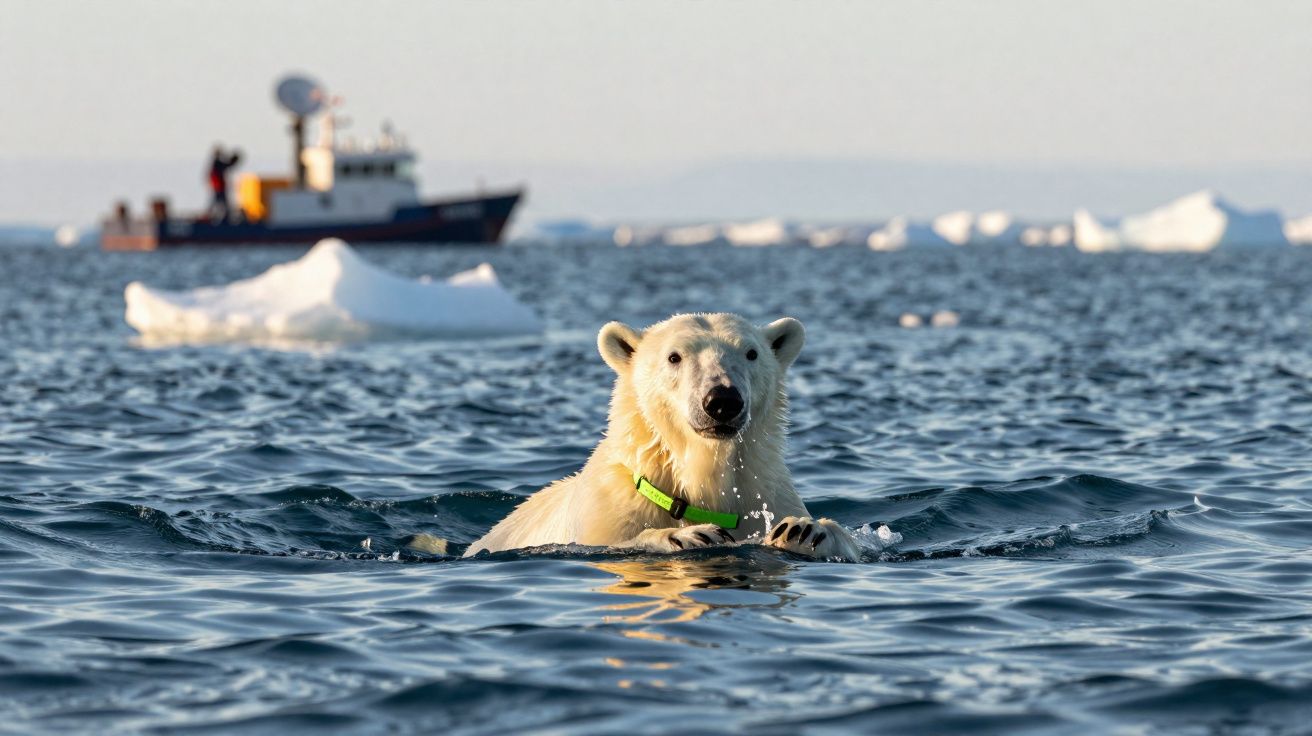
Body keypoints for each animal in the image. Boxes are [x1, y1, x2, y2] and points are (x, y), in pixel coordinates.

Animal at [463, 313, 861, 561]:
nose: (722, 401)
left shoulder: (765, 494)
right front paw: (689, 535)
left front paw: (804, 530)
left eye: (751, 353)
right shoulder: (606, 513)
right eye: (674, 357)